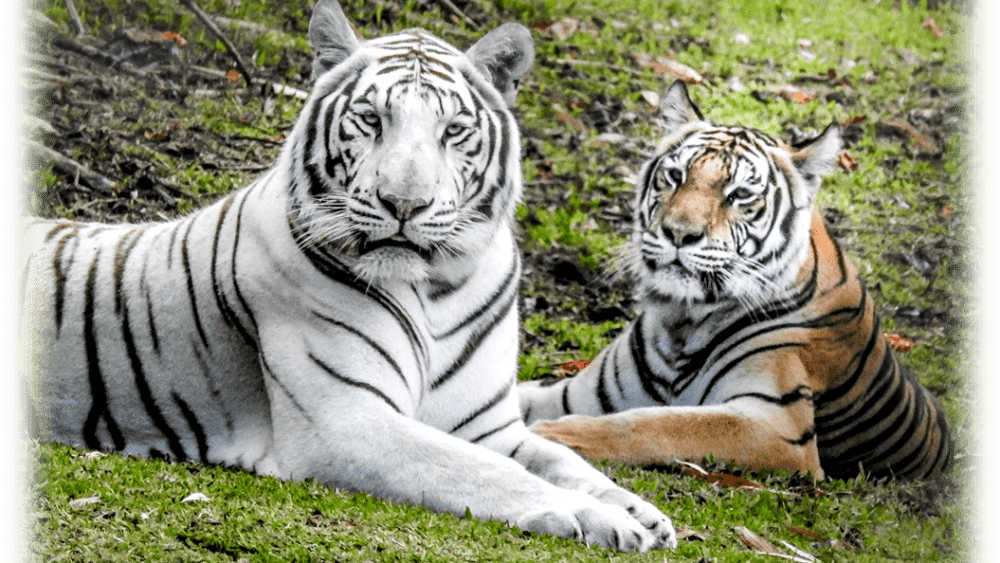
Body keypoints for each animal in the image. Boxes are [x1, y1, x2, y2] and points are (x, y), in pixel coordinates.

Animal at [19, 0, 676, 551]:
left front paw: (642, 513)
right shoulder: (347, 420)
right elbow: (487, 470)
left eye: (452, 131)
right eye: (371, 119)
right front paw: (597, 517)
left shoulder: (485, 423)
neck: (438, 287)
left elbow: (563, 460)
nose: (403, 203)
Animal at [519, 79, 953, 482]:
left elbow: (665, 423)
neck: (683, 319)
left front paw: (554, 435)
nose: (679, 233)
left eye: (740, 194)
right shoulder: (577, 393)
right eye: (674, 175)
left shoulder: (778, 426)